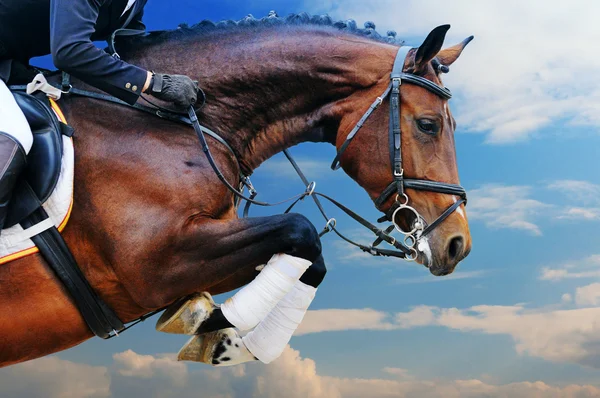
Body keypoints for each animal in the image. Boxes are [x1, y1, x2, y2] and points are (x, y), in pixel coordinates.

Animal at [0, 12, 472, 366]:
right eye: (428, 125)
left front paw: (222, 337)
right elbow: (301, 230)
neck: (161, 121)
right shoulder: (151, 266)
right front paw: (209, 323)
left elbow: (308, 257)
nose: (458, 244)